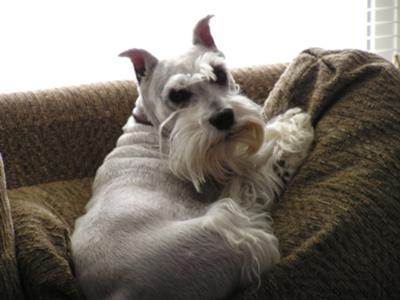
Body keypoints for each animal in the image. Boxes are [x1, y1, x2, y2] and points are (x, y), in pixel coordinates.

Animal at [72, 15, 316, 300]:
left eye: (219, 73)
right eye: (177, 94)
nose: (223, 117)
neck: (154, 127)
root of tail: (120, 293)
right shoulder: (228, 171)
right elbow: (258, 159)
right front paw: (292, 127)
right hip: (228, 225)